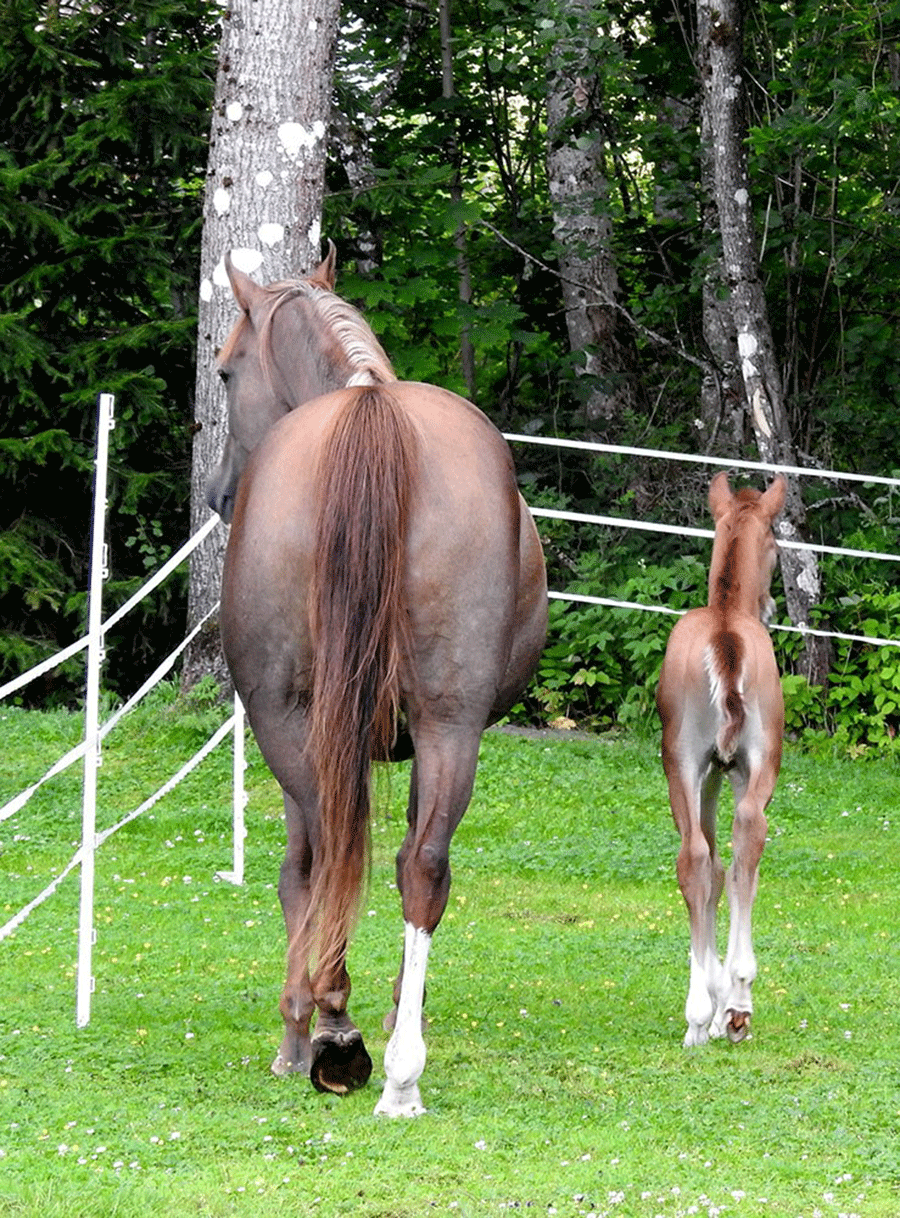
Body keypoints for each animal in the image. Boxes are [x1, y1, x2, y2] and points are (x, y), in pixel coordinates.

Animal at [205, 247, 548, 1115]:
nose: (220, 494)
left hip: (290, 720)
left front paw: (300, 1030)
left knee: (325, 855)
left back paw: (329, 1035)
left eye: (225, 371)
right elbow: (405, 864)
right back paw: (401, 1072)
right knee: (422, 865)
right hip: (450, 723)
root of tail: (373, 418)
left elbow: (303, 870)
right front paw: (394, 1013)